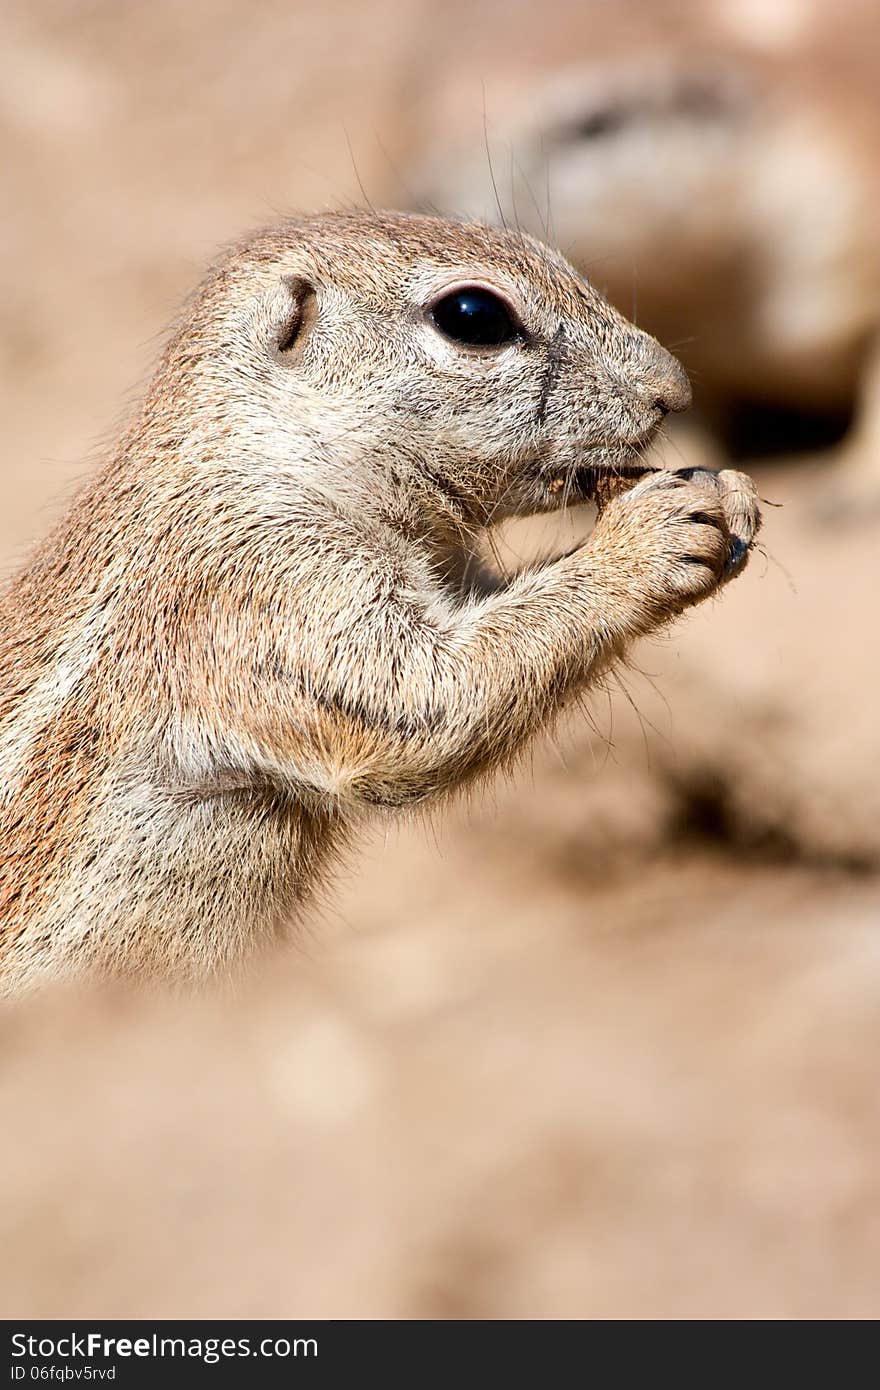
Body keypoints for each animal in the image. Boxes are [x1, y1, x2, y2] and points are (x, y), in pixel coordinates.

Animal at [0, 211, 756, 995]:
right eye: (474, 317)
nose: (673, 389)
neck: (265, 449)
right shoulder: (265, 585)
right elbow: (426, 694)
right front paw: (653, 533)